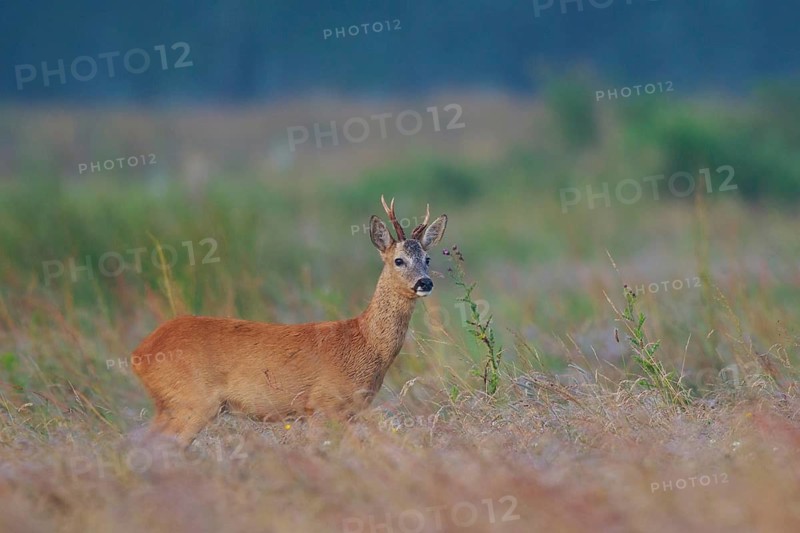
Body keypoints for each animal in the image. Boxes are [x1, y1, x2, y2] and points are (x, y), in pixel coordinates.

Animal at [131, 196, 447, 446]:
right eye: (398, 260)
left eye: (428, 259)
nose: (425, 282)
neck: (364, 342)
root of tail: (138, 354)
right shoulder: (323, 405)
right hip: (191, 402)